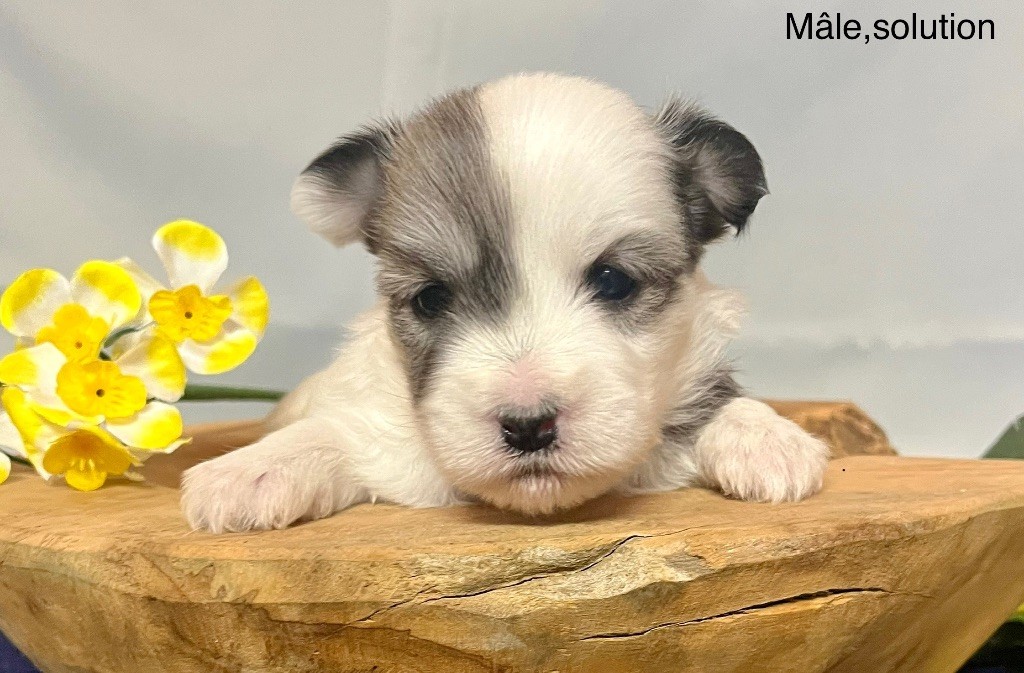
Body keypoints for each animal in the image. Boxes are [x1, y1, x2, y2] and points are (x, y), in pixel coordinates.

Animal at [180, 73, 827, 532]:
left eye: (614, 281)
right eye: (431, 299)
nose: (528, 425)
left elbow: (717, 402)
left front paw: (767, 439)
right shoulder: (381, 434)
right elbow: (332, 432)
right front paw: (250, 470)